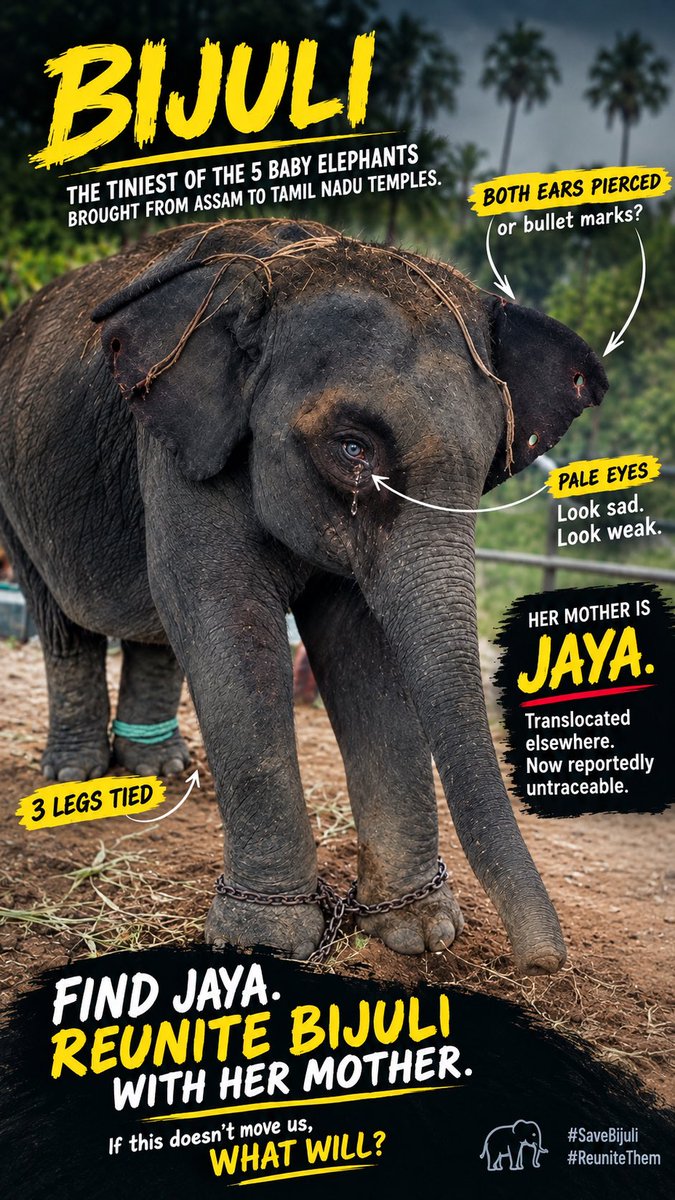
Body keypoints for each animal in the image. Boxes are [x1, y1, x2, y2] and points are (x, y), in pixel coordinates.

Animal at [0, 217, 608, 968]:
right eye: (351, 449)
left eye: (489, 462)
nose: (545, 962)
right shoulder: (180, 442)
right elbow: (220, 608)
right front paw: (264, 941)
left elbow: (362, 641)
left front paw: (415, 933)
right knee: (64, 621)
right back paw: (78, 780)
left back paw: (161, 769)